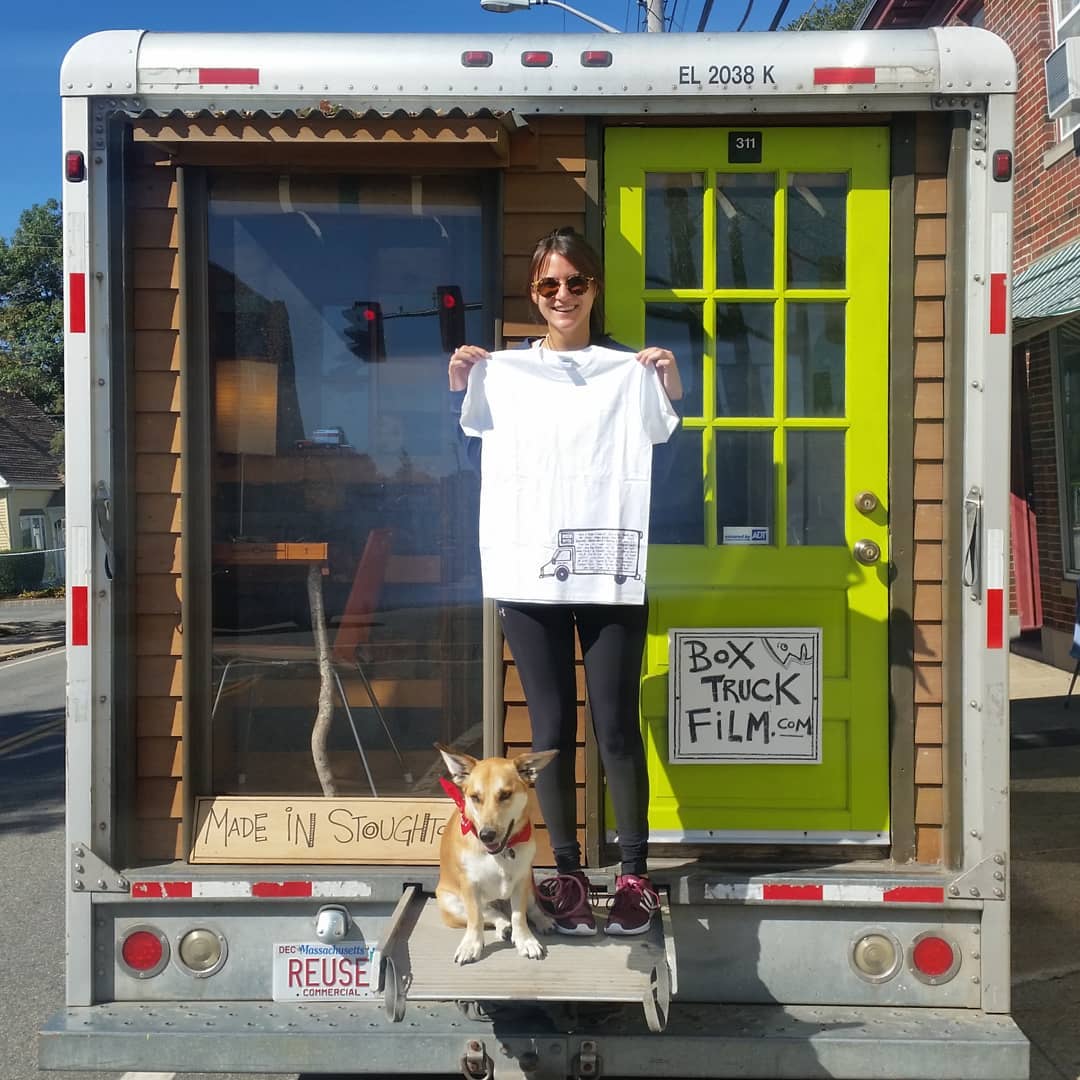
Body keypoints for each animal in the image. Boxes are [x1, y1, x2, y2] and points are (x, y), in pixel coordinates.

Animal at [436, 747, 561, 967]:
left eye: (505, 795)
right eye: (475, 797)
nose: (487, 834)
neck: (500, 852)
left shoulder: (521, 880)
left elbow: (519, 916)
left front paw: (525, 940)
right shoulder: (469, 886)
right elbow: (476, 919)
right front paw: (471, 945)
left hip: (529, 886)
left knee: (529, 909)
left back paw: (542, 921)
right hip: (450, 903)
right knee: (492, 914)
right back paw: (503, 926)